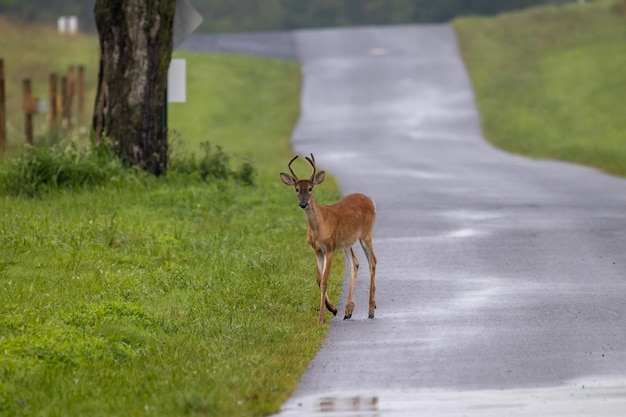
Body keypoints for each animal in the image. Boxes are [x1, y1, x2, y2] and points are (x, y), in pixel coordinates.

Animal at [280, 154, 376, 324]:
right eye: (296, 189)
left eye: (310, 188)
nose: (303, 204)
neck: (319, 226)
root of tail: (370, 200)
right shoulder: (317, 250)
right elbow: (319, 280)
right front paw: (333, 309)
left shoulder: (329, 248)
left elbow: (324, 281)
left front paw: (321, 318)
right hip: (346, 243)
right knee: (355, 263)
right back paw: (348, 310)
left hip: (366, 234)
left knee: (373, 261)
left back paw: (371, 310)